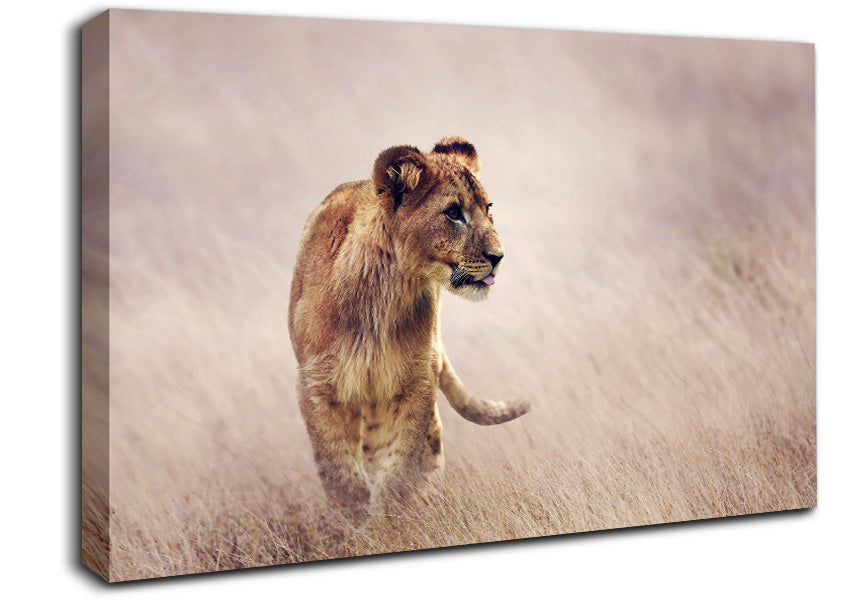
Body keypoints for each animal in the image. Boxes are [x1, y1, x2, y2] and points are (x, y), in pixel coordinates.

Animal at [287, 136, 529, 516]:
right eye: (453, 212)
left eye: (488, 207)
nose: (499, 256)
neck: (384, 295)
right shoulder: (317, 383)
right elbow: (338, 469)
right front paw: (354, 519)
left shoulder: (415, 380)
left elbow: (400, 469)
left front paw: (392, 519)